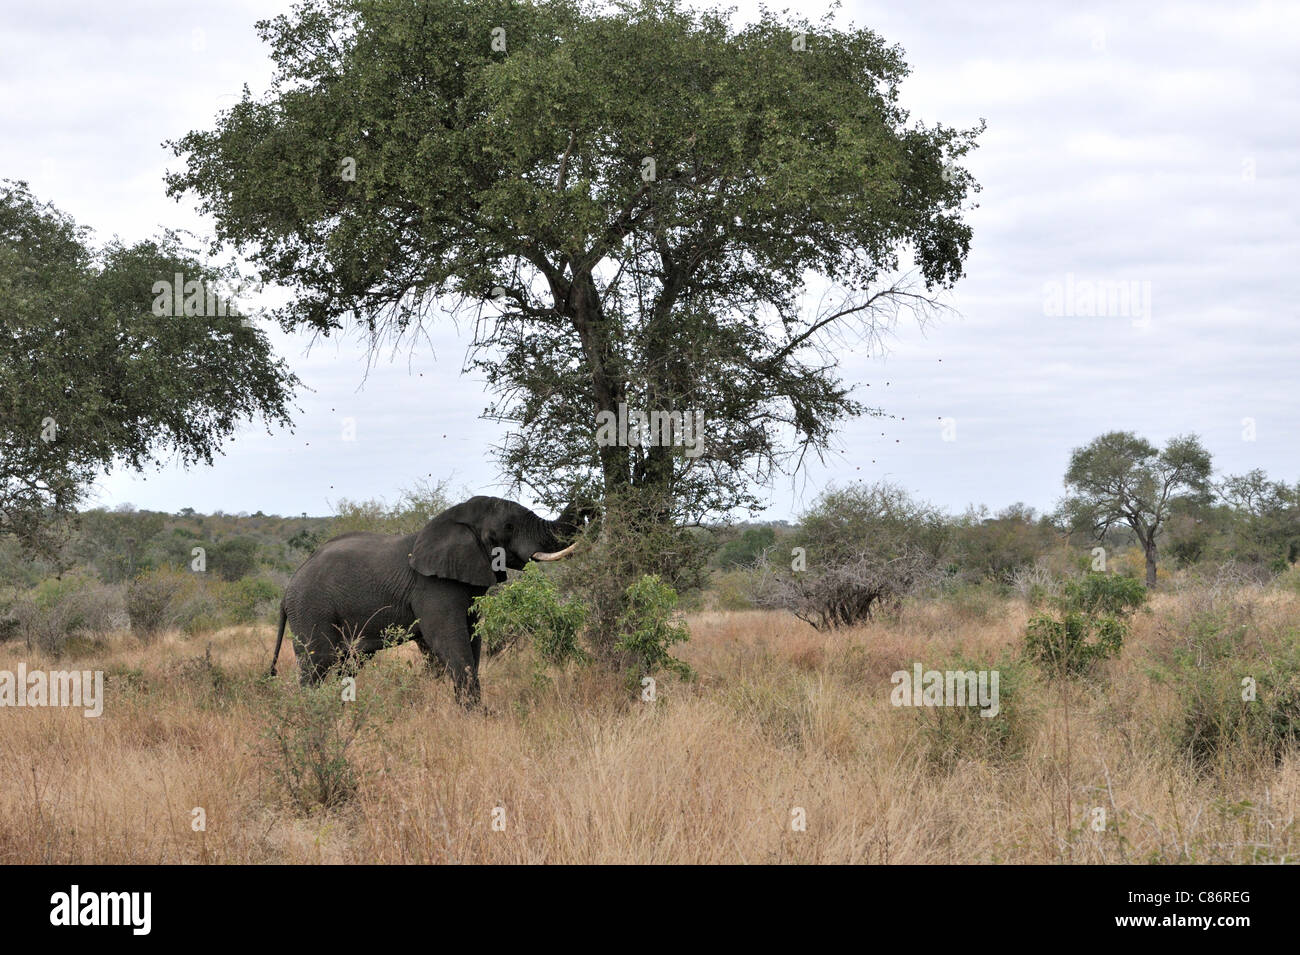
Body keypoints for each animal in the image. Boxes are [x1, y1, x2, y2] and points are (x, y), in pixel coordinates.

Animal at [269, 496, 579, 706]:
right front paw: (478, 716)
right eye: (509, 526)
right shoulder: (432, 587)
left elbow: (472, 642)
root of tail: (288, 589)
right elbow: (449, 641)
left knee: (346, 665)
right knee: (318, 665)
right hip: (311, 610)